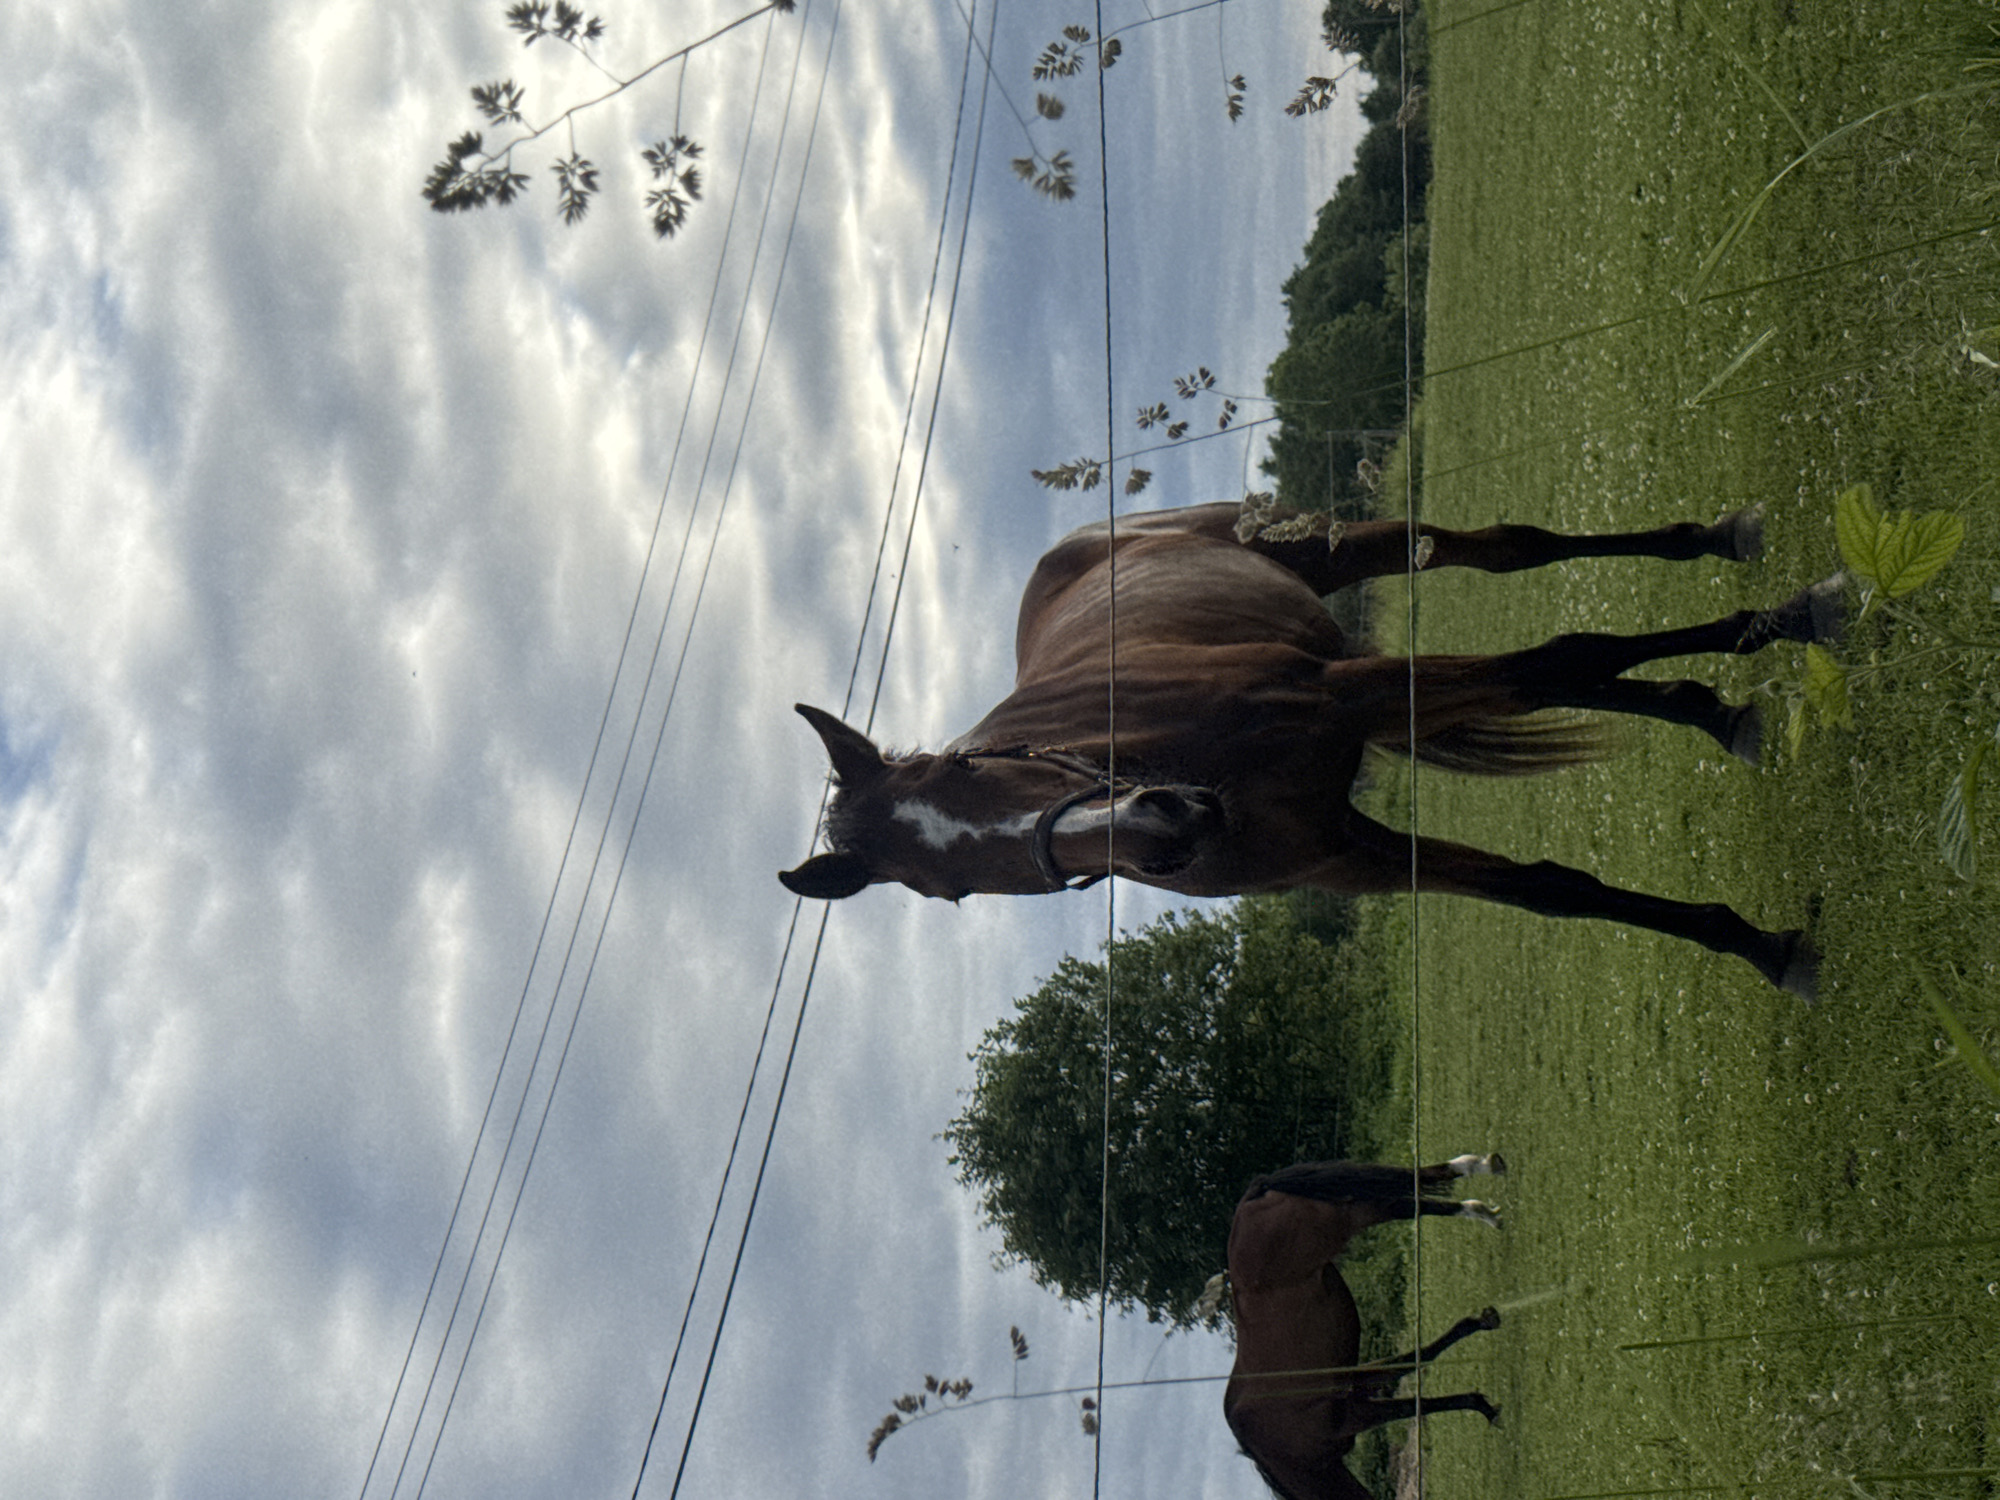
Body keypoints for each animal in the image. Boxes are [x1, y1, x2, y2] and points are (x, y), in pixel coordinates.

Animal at [780, 498, 1832, 997]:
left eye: (966, 765)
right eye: (949, 892)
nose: (1164, 829)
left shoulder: (1355, 694)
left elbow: (1568, 654)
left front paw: (1781, 618)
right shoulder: (1351, 859)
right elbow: (1552, 891)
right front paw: (1757, 944)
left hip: (1349, 548)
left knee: (1507, 551)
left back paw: (1720, 550)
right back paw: (1712, 710)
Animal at [1225, 1156, 1507, 1500]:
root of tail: (1252, 1197)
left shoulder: (1353, 1415)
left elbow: (1418, 1399)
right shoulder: (1358, 1390)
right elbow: (1417, 1365)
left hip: (1344, 1221)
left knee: (1405, 1203)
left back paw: (1480, 1205)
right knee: (1415, 1184)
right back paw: (1482, 1173)